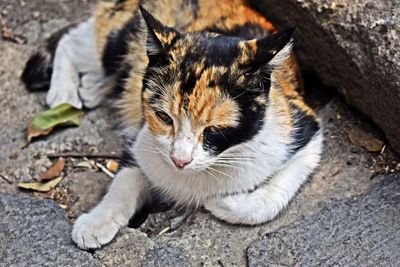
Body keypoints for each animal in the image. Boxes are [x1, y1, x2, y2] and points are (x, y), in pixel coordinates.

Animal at [21, 0, 322, 251]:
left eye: (214, 131)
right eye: (164, 118)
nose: (179, 160)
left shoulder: (305, 129)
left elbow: (270, 198)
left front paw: (220, 202)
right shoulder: (141, 142)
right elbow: (124, 182)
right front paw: (97, 222)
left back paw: (91, 87)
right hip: (120, 37)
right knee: (77, 38)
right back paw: (65, 93)